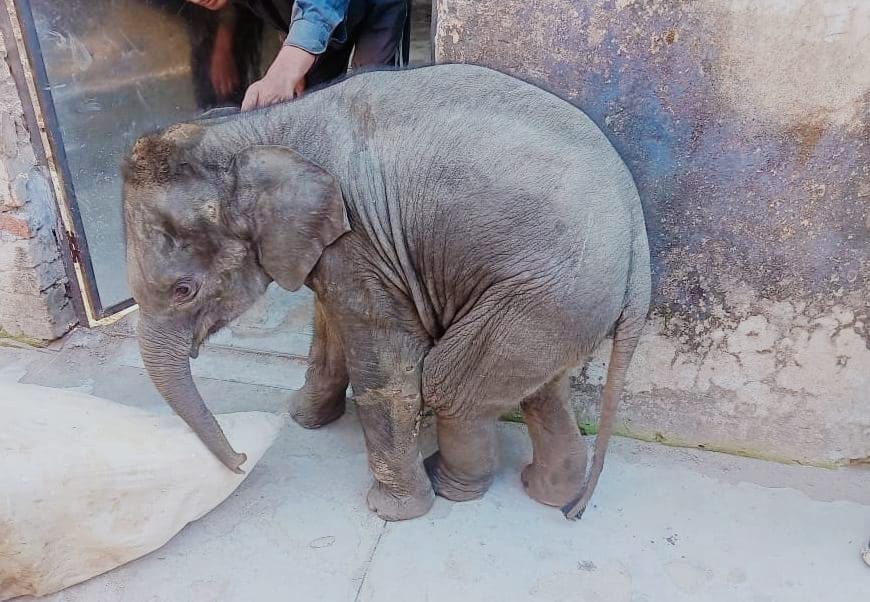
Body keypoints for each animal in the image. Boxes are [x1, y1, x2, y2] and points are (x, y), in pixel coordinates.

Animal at [122, 63, 651, 521]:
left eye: (184, 290)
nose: (240, 460)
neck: (248, 131)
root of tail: (637, 237)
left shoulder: (359, 237)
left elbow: (387, 364)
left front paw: (391, 512)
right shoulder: (337, 248)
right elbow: (329, 330)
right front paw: (303, 418)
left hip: (541, 295)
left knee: (448, 386)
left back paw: (448, 483)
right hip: (562, 308)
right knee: (543, 390)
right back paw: (549, 493)